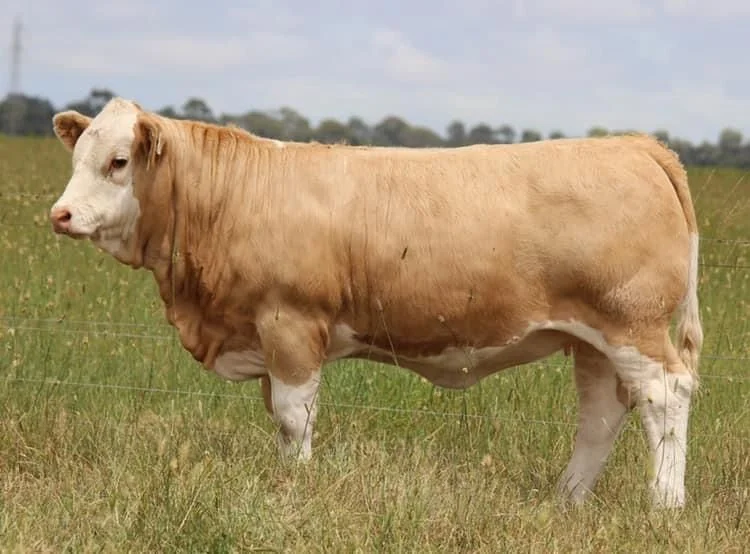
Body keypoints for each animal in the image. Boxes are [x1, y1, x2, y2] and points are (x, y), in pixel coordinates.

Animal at [48, 98, 703, 509]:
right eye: (77, 159)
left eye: (118, 162)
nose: (61, 214)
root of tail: (635, 147)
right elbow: (279, 419)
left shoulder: (291, 324)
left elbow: (293, 415)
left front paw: (299, 487)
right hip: (592, 340)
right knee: (601, 415)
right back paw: (567, 500)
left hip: (633, 326)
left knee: (665, 397)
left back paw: (664, 504)